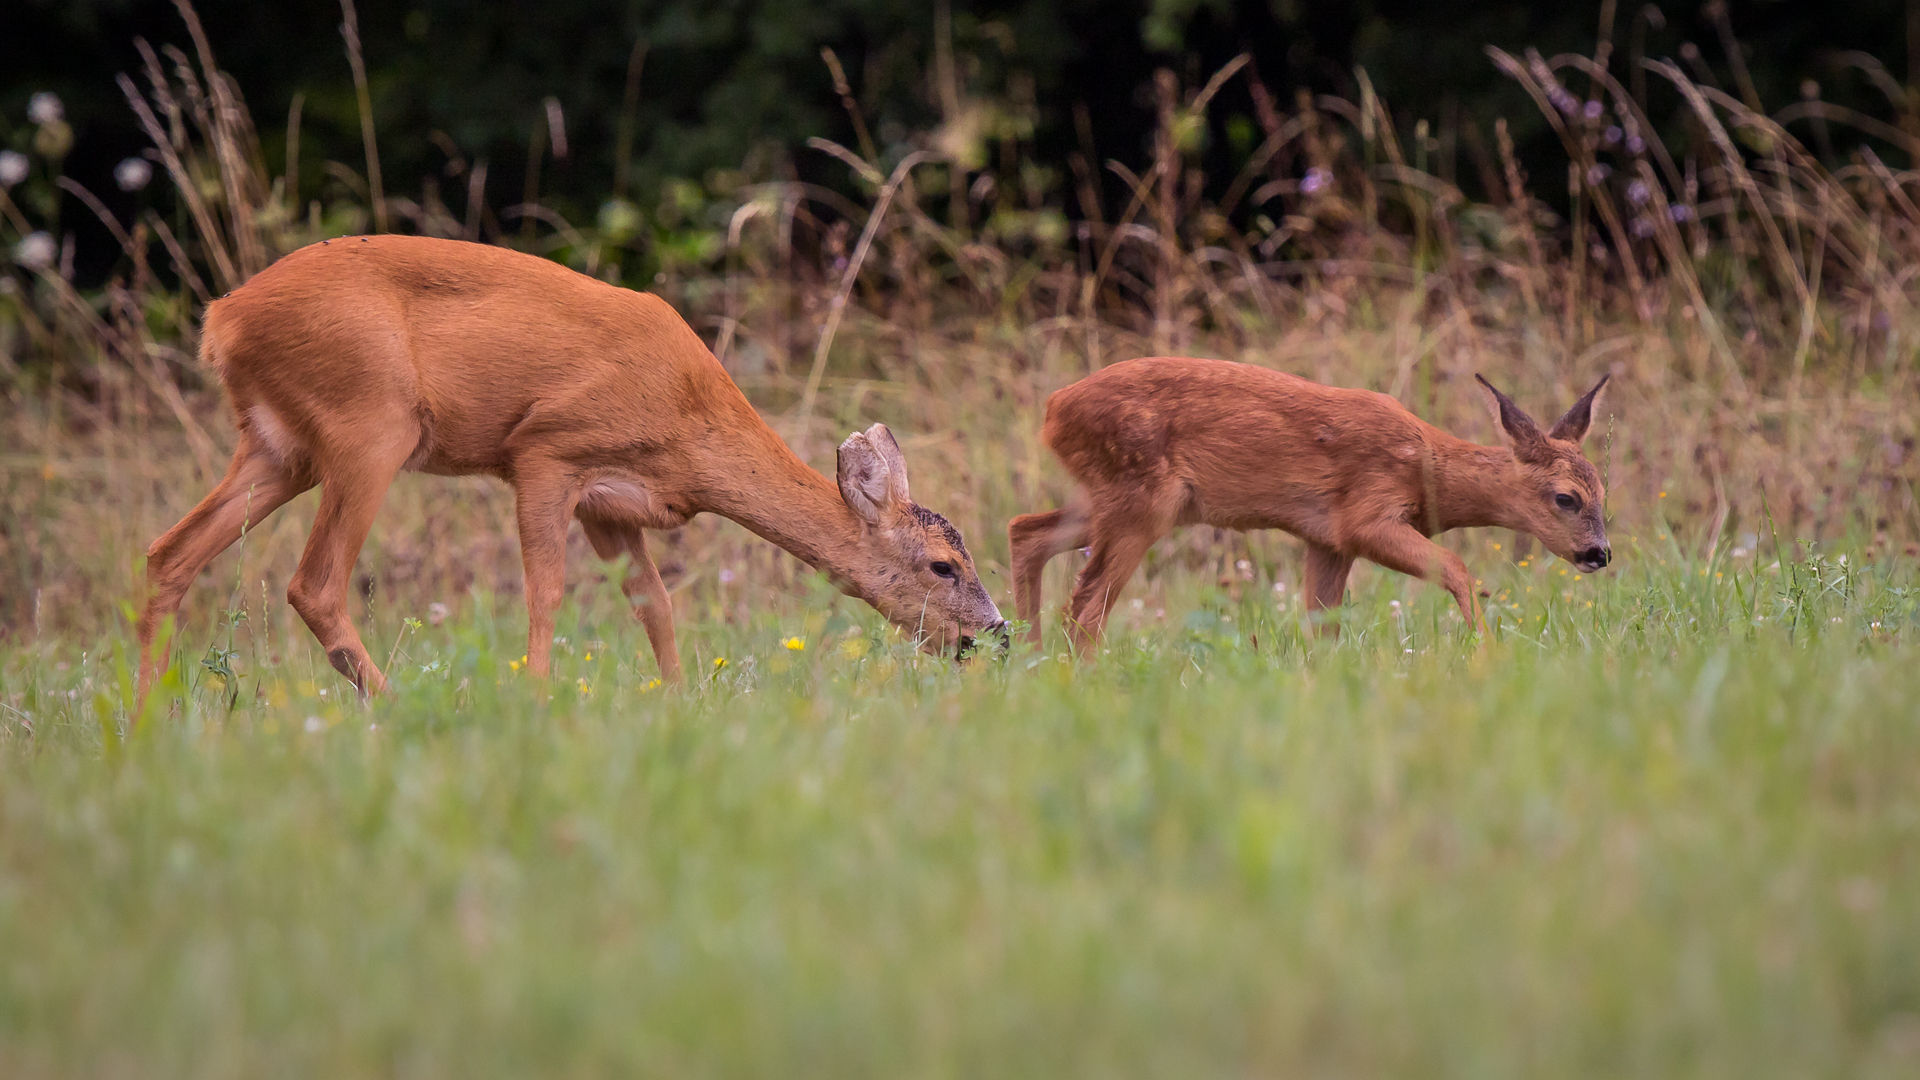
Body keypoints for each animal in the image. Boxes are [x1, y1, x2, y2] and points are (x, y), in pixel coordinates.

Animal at [137, 233, 1006, 699]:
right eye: (943, 565)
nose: (996, 637)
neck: (690, 427)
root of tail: (222, 318)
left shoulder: (614, 503)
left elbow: (654, 603)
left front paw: (680, 700)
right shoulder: (547, 452)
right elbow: (548, 592)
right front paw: (538, 696)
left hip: (280, 445)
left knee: (168, 552)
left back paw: (150, 716)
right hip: (368, 421)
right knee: (312, 582)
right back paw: (397, 707)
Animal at [1013, 355, 1612, 645]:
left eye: (1605, 492)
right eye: (1566, 498)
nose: (1599, 554)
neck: (1428, 470)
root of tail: (1051, 409)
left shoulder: (1327, 541)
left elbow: (1322, 624)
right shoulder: (1365, 517)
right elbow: (1456, 566)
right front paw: (1486, 650)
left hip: (1116, 498)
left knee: (1026, 531)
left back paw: (1028, 658)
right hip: (1142, 497)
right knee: (1085, 608)